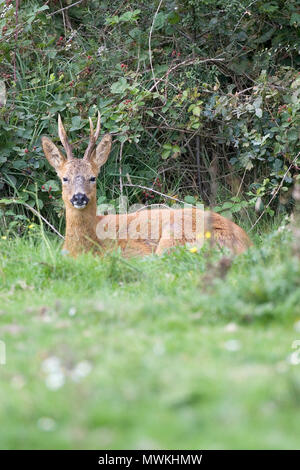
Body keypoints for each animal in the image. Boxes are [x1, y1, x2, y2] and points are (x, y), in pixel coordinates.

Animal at [42, 114, 252, 258]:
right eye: (64, 178)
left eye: (93, 177)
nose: (79, 197)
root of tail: (246, 245)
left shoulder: (134, 250)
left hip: (174, 236)